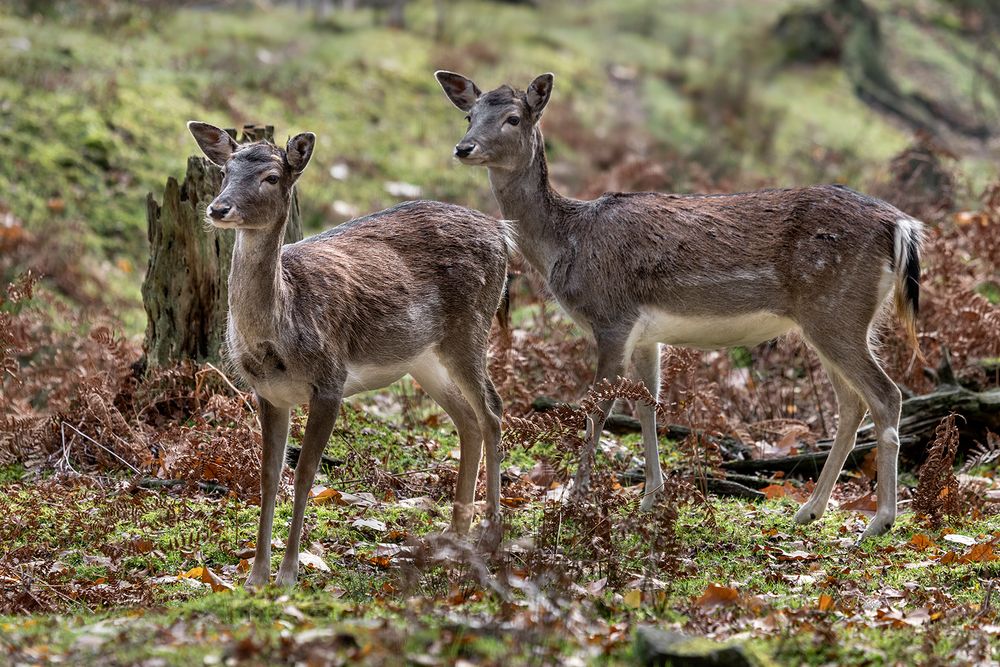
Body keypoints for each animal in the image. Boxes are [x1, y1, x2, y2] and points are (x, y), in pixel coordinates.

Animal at [188, 121, 508, 588]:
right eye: (226, 171)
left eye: (271, 177)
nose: (218, 208)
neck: (281, 328)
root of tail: (504, 234)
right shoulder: (267, 392)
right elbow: (268, 474)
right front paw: (256, 576)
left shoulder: (330, 380)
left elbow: (305, 473)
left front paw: (288, 575)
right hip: (423, 358)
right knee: (466, 418)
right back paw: (454, 535)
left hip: (471, 326)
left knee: (492, 410)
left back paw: (489, 536)